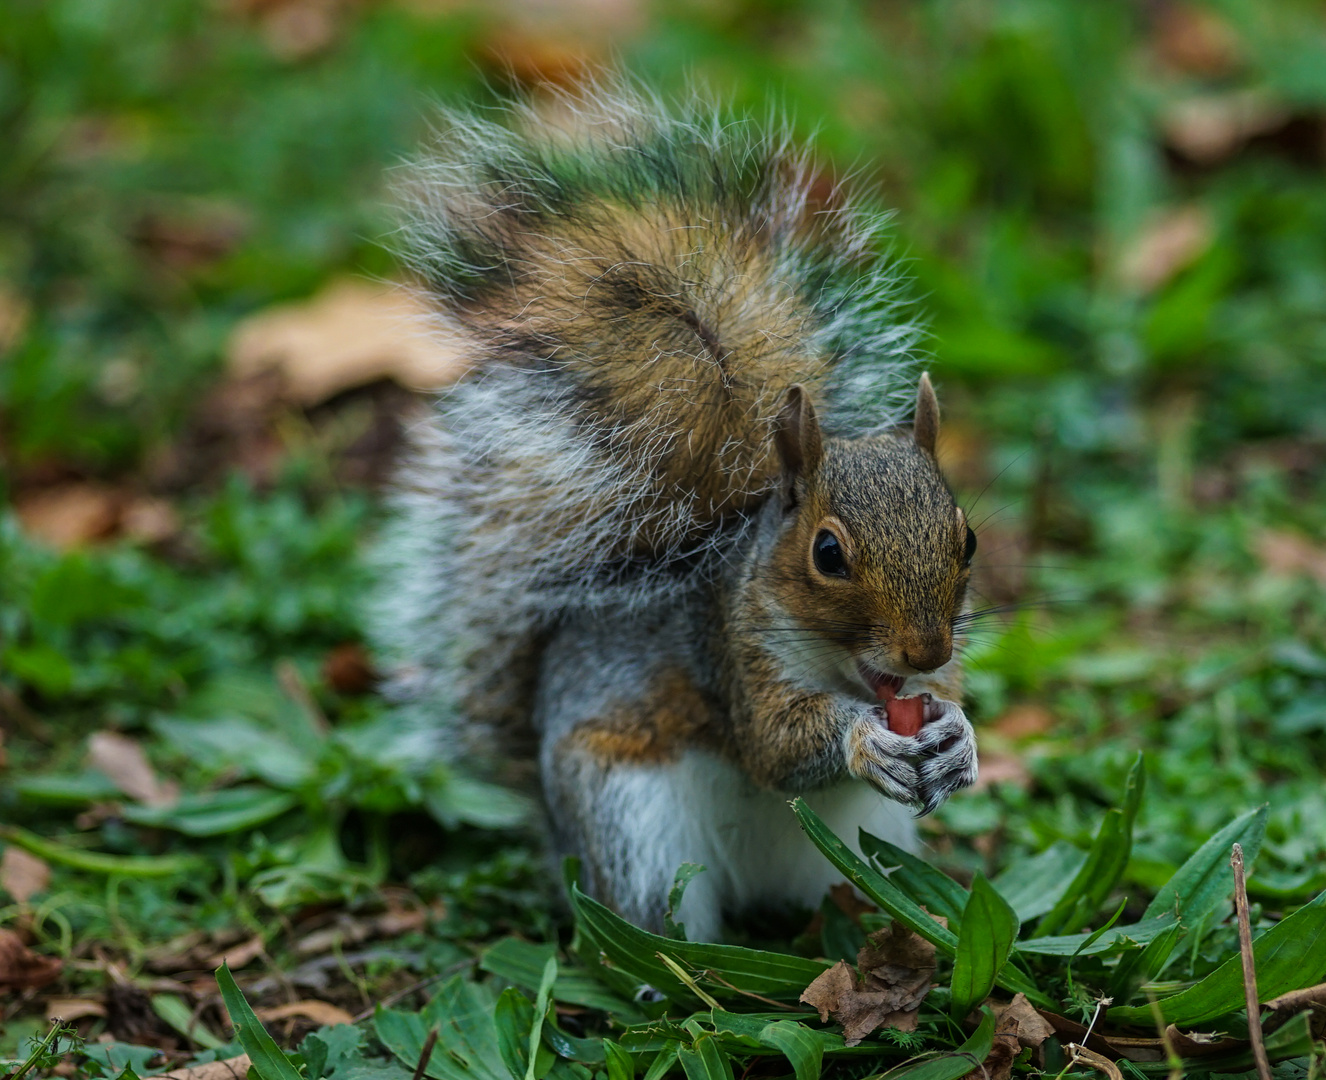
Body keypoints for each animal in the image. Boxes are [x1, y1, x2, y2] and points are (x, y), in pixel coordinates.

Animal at [379, 80, 981, 944]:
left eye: (967, 540)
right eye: (827, 554)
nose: (925, 650)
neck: (841, 667)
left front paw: (960, 738)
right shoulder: (732, 654)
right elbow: (775, 748)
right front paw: (863, 738)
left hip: (866, 844)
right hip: (635, 828)